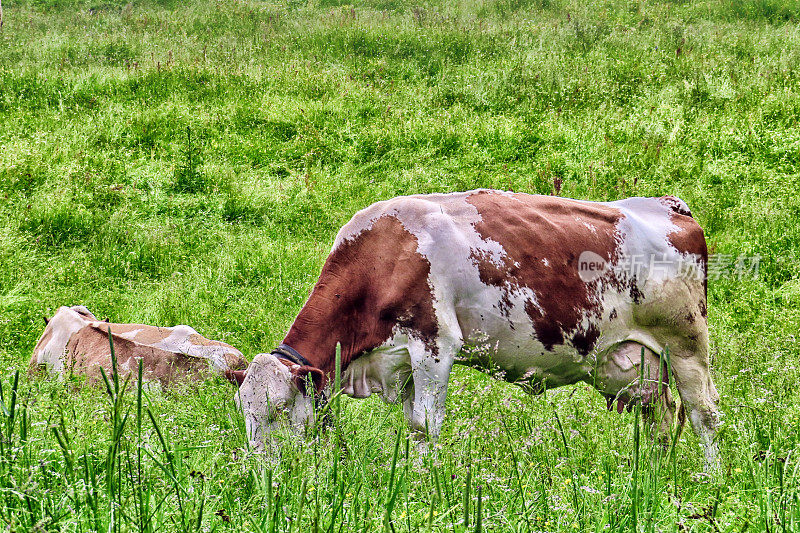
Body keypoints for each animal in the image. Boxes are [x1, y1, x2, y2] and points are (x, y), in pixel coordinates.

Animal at [234, 189, 720, 468]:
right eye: (243, 411)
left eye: (279, 409)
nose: (264, 473)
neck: (385, 256)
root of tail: (668, 206)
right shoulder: (402, 361)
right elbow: (412, 423)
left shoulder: (435, 344)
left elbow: (425, 425)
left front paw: (423, 485)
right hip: (634, 362)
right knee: (661, 416)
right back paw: (651, 476)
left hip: (687, 343)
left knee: (704, 414)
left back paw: (707, 478)